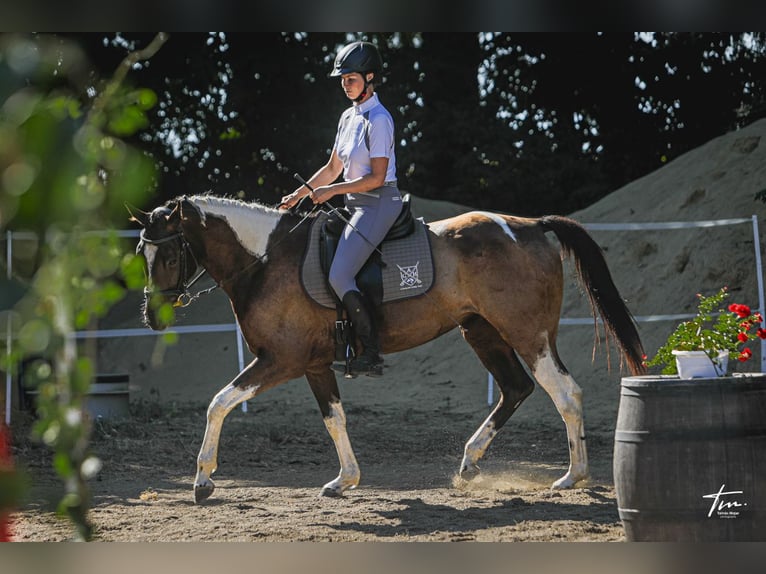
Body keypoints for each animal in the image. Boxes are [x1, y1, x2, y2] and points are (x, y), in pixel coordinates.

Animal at [132, 195, 648, 504]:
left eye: (170, 253)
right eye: (144, 253)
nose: (152, 318)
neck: (265, 260)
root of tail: (532, 226)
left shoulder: (282, 360)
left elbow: (218, 403)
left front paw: (203, 480)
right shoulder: (314, 363)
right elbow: (334, 419)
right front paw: (345, 480)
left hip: (529, 335)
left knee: (566, 393)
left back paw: (573, 476)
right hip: (482, 332)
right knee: (516, 389)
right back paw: (469, 463)